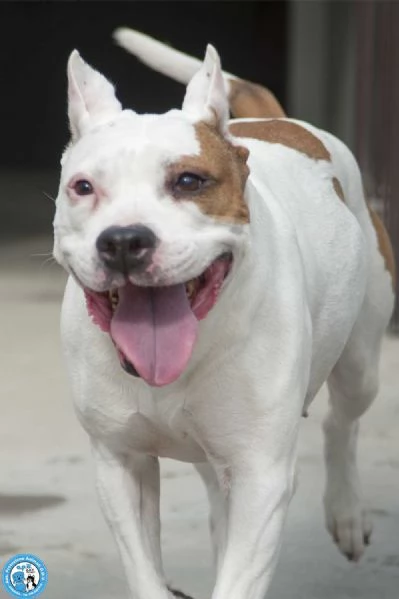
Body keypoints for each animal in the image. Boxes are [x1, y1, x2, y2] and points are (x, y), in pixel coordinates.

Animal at [54, 27, 396, 599]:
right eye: (83, 187)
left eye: (189, 182)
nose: (123, 241)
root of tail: (273, 120)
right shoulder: (120, 465)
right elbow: (146, 574)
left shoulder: (261, 476)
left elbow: (240, 577)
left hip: (360, 362)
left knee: (341, 422)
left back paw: (346, 513)